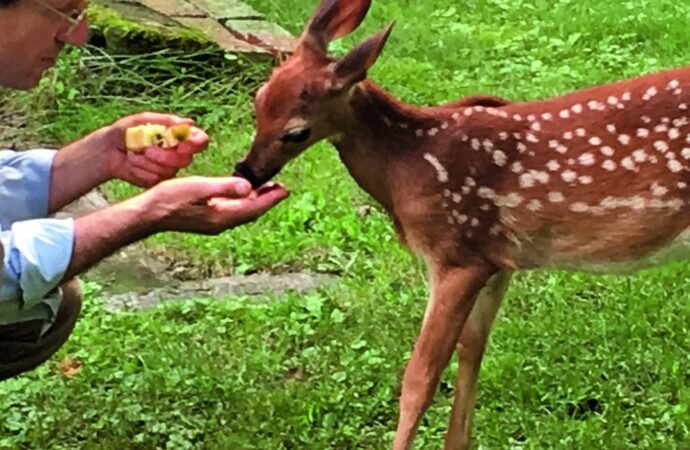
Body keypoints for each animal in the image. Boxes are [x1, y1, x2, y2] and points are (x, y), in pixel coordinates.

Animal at [233, 0, 690, 448]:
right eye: (258, 101)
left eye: (296, 132)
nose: (247, 171)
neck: (407, 163)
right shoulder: (496, 261)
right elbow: (472, 349)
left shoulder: (456, 255)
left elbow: (419, 379)